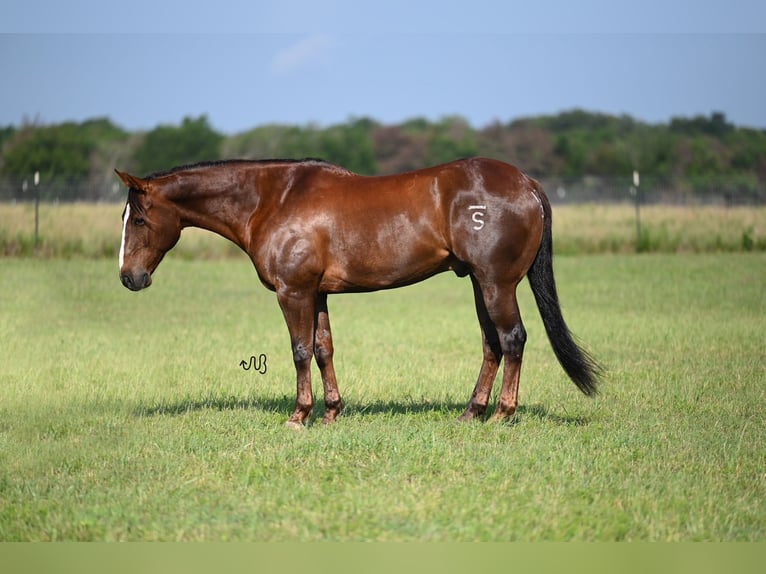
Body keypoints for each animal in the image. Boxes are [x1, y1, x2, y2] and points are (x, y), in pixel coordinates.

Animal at [117, 158, 604, 428]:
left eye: (138, 219)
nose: (128, 278)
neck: (272, 199)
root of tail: (527, 184)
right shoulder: (317, 294)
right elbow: (323, 349)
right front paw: (332, 411)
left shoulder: (293, 292)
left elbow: (299, 350)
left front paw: (299, 415)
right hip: (479, 284)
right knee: (492, 344)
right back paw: (472, 412)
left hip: (496, 283)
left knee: (512, 339)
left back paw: (503, 413)